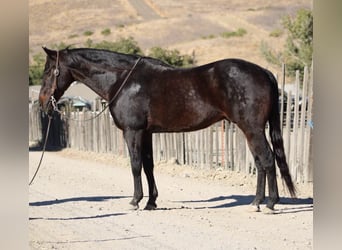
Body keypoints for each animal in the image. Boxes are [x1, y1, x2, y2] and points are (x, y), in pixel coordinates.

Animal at [38, 46, 296, 211]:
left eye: (49, 71)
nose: (42, 103)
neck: (123, 80)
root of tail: (264, 72)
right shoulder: (146, 133)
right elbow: (149, 166)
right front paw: (151, 202)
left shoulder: (132, 131)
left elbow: (135, 165)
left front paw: (135, 201)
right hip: (249, 130)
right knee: (260, 163)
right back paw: (256, 202)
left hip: (252, 128)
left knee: (267, 159)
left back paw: (270, 203)